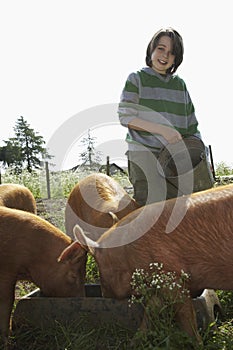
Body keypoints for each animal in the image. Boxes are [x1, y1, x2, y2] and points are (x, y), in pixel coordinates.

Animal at [61, 185, 233, 344]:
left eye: (100, 268)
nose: (105, 296)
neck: (125, 254)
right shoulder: (156, 284)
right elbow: (150, 311)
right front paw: (134, 342)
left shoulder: (171, 277)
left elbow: (185, 315)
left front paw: (196, 343)